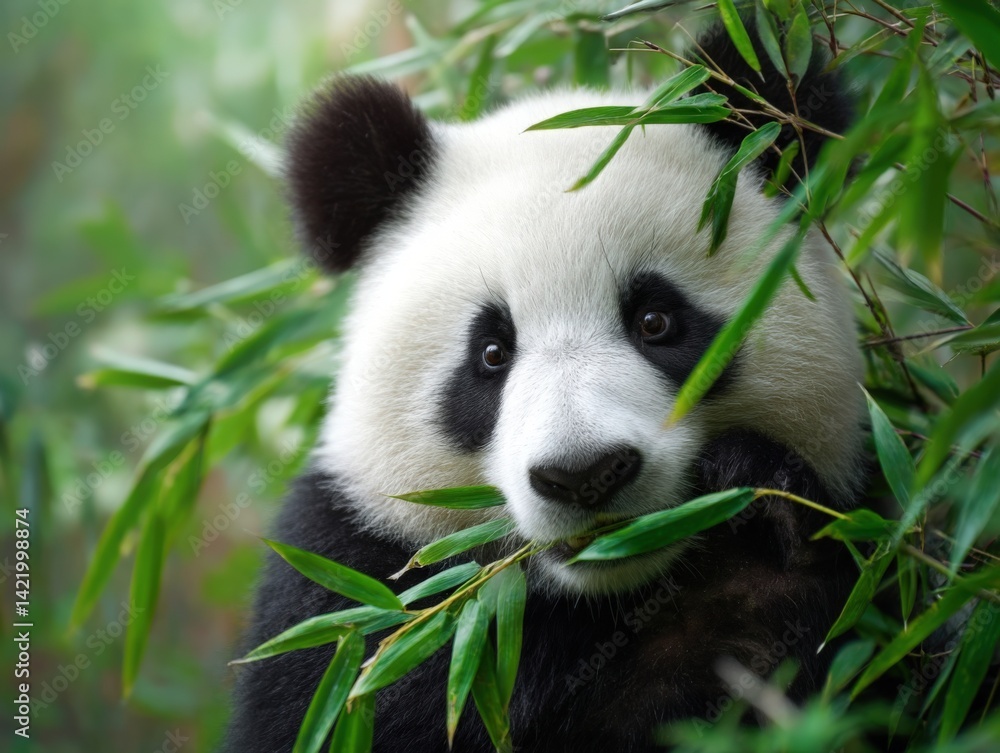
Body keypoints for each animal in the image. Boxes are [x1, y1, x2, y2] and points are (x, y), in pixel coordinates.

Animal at [223, 23, 865, 753]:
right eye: (491, 354)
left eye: (655, 321)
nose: (584, 474)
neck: (607, 592)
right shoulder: (354, 588)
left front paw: (759, 503)